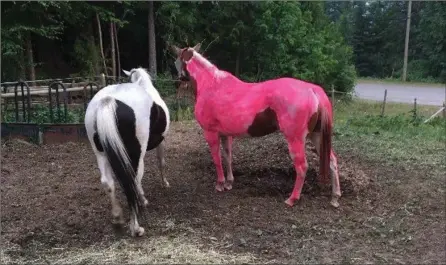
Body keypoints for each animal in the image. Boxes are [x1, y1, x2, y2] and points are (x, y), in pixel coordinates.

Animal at [85, 67, 171, 236]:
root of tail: (109, 100)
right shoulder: (161, 141)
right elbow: (161, 162)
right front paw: (164, 184)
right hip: (136, 154)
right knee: (133, 180)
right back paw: (136, 227)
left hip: (100, 154)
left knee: (108, 182)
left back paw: (117, 218)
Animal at [171, 42, 342, 206]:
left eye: (176, 61)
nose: (179, 83)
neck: (212, 84)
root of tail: (313, 90)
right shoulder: (226, 134)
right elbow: (227, 156)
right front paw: (229, 182)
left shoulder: (210, 132)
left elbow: (217, 158)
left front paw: (220, 184)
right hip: (316, 135)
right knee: (332, 161)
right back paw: (335, 197)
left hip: (295, 139)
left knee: (302, 167)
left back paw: (292, 199)